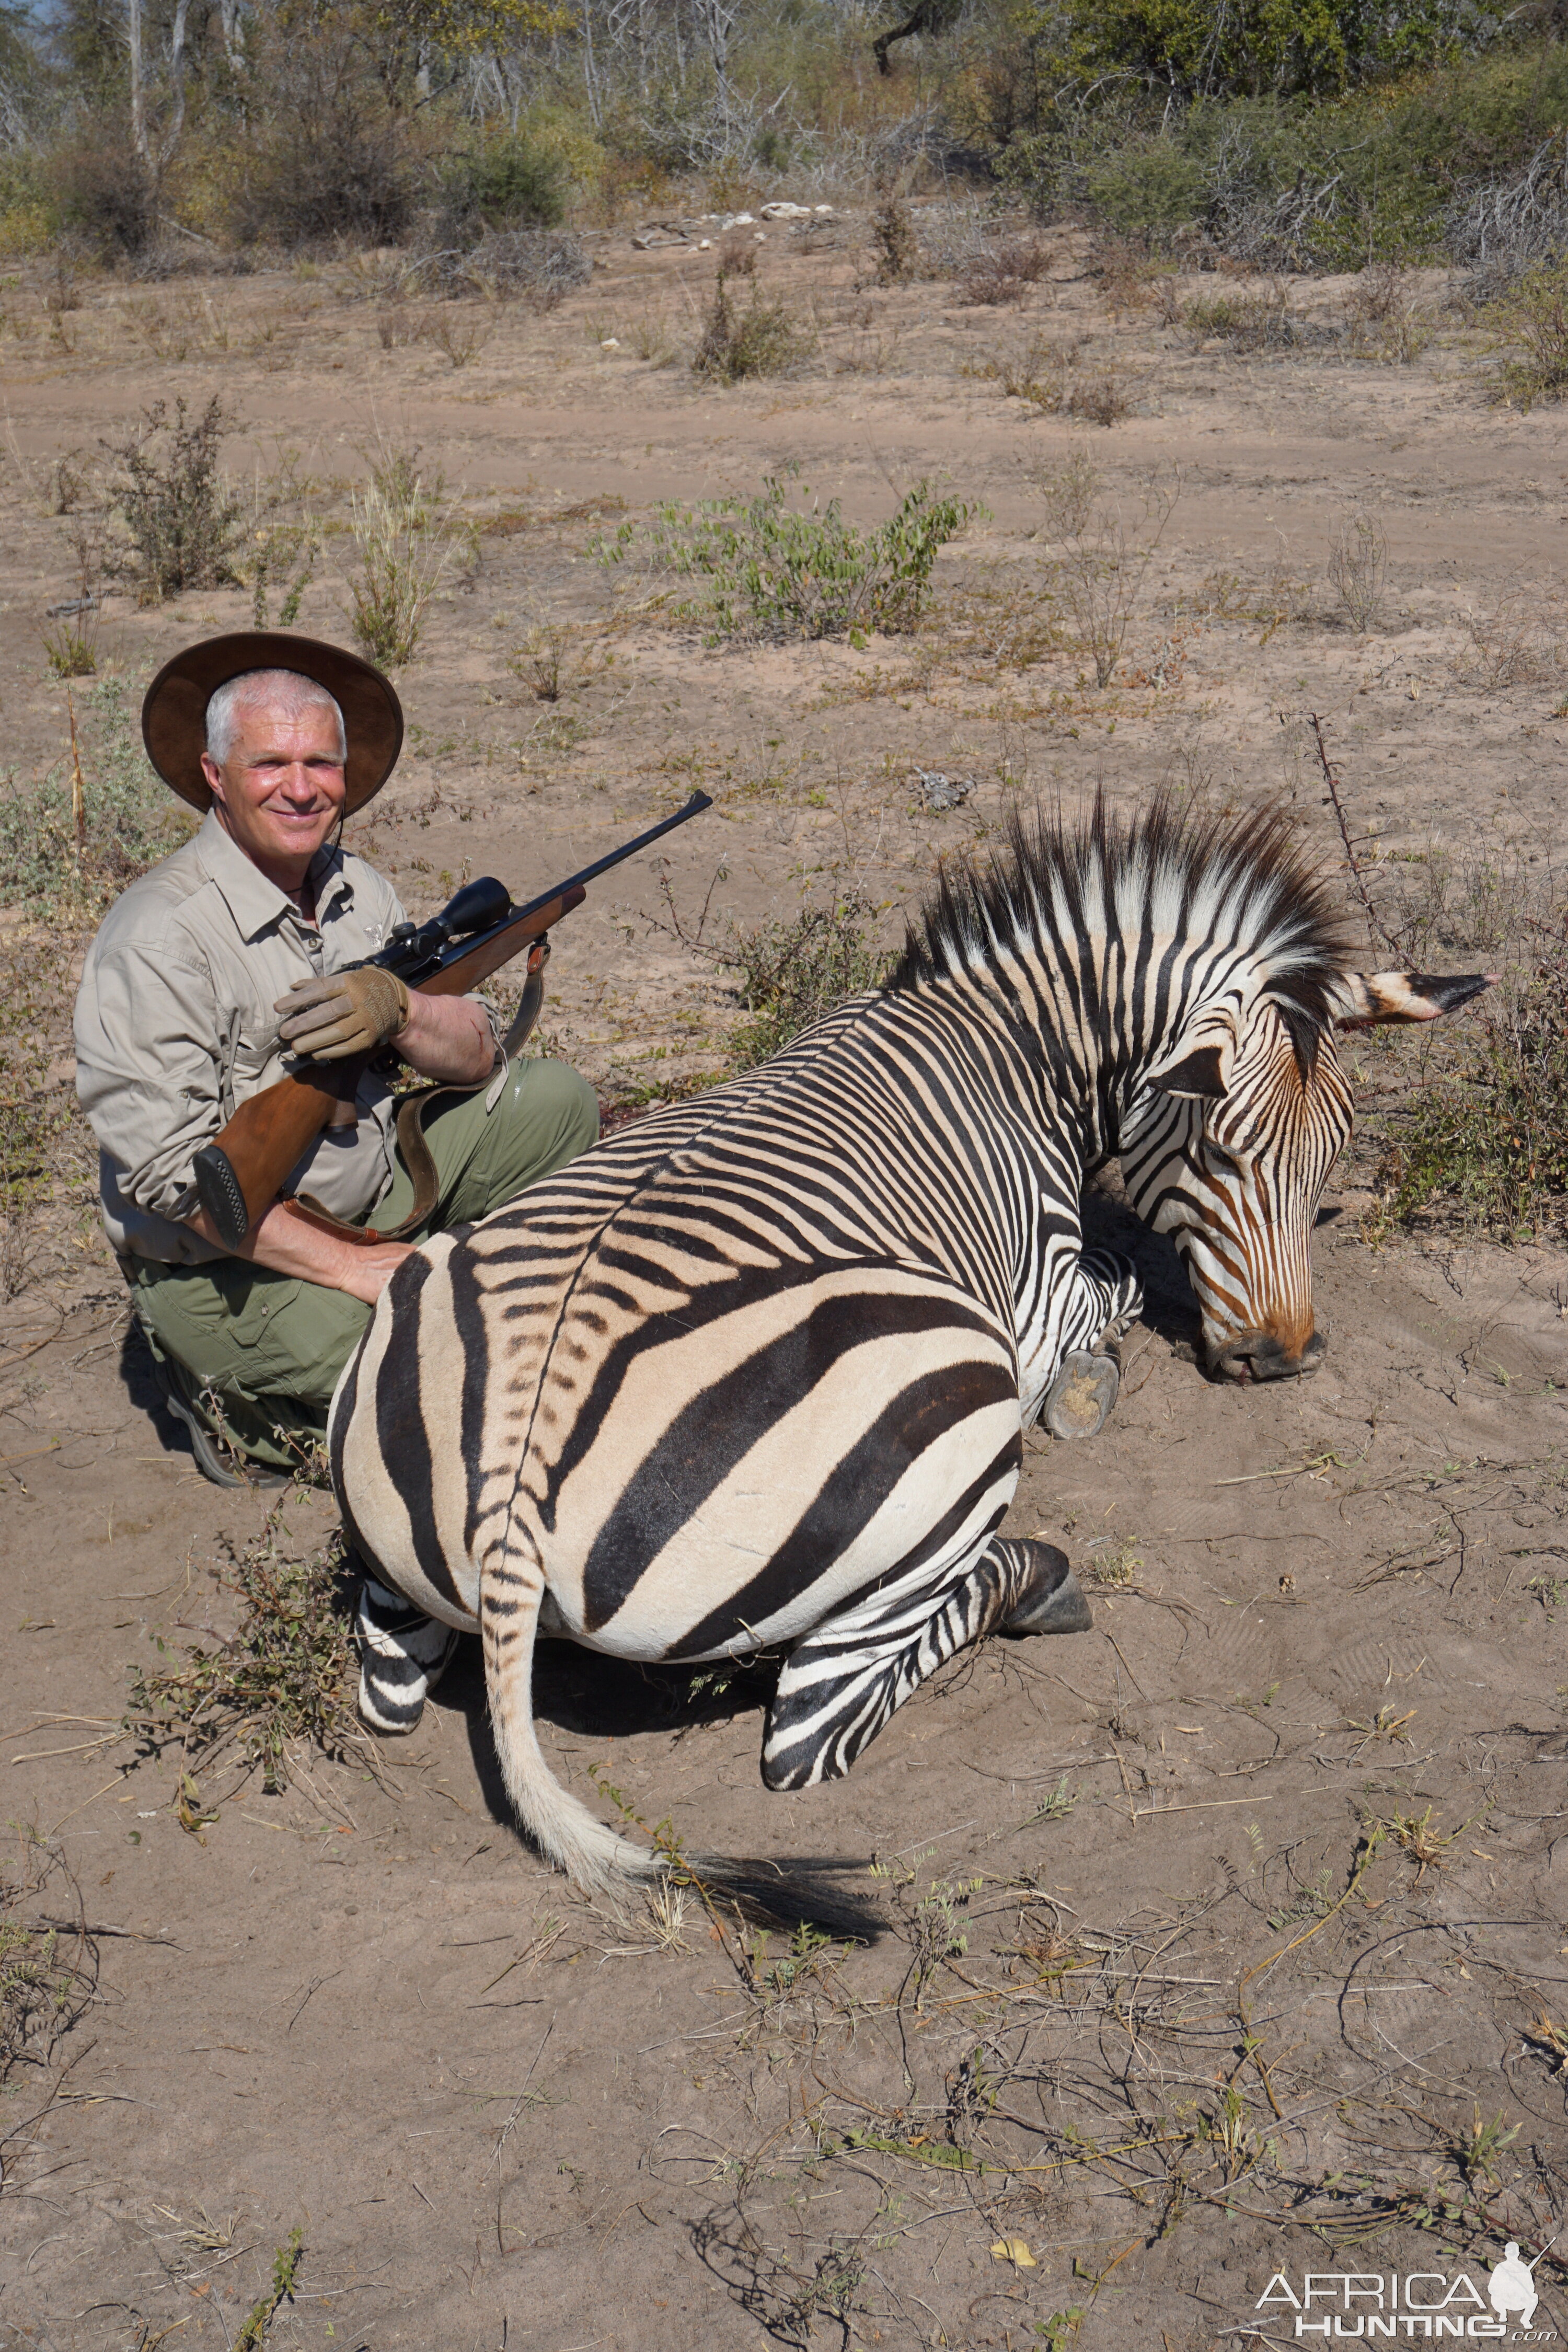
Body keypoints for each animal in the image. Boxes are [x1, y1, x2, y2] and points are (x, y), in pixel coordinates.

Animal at [329, 800, 1485, 1900]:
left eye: (1336, 1150)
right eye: (1219, 1152)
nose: (1282, 1358)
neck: (1021, 1051)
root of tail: (513, 1522)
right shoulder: (1044, 1289)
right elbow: (1110, 1296)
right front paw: (1090, 1384)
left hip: (391, 1527)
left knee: (389, 1691)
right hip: (953, 1407)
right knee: (819, 1720)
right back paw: (1045, 1578)